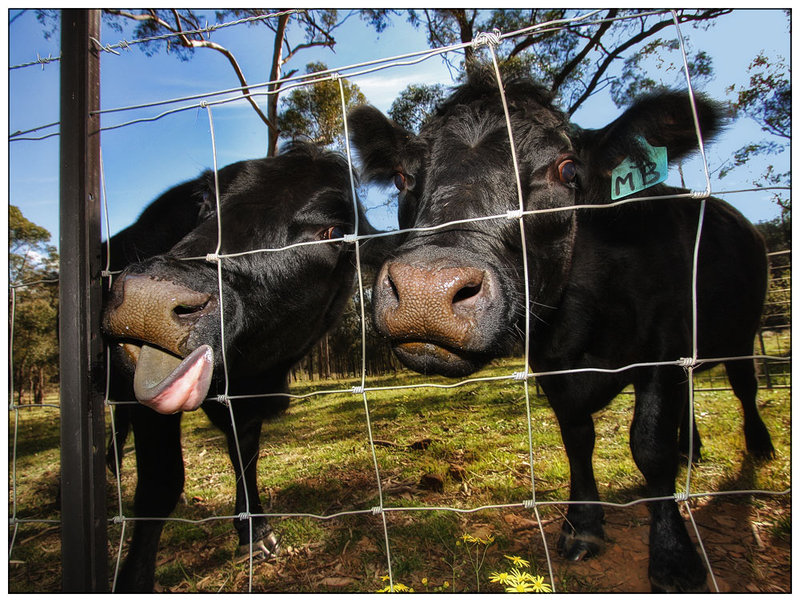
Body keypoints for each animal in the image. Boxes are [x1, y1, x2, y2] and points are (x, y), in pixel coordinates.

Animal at [104, 142, 386, 592]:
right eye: (205, 198)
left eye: (333, 231)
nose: (148, 298)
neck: (251, 376)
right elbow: (160, 483)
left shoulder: (250, 404)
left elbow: (245, 456)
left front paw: (254, 530)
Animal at [352, 71, 776, 592]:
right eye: (402, 177)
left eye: (568, 170)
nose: (424, 291)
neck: (583, 323)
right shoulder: (551, 365)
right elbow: (577, 437)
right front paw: (583, 526)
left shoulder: (664, 346)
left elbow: (650, 446)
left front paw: (674, 557)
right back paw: (690, 449)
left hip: (742, 333)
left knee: (744, 386)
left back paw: (758, 445)